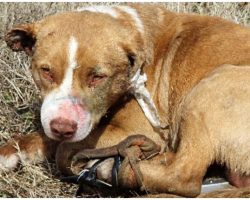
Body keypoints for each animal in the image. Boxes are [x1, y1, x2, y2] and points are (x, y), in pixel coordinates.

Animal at [1, 3, 250, 197]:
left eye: (98, 77)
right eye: (46, 72)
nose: (62, 127)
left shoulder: (138, 131)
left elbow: (65, 147)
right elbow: (46, 137)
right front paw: (12, 151)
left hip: (209, 89)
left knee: (185, 176)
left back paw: (112, 170)